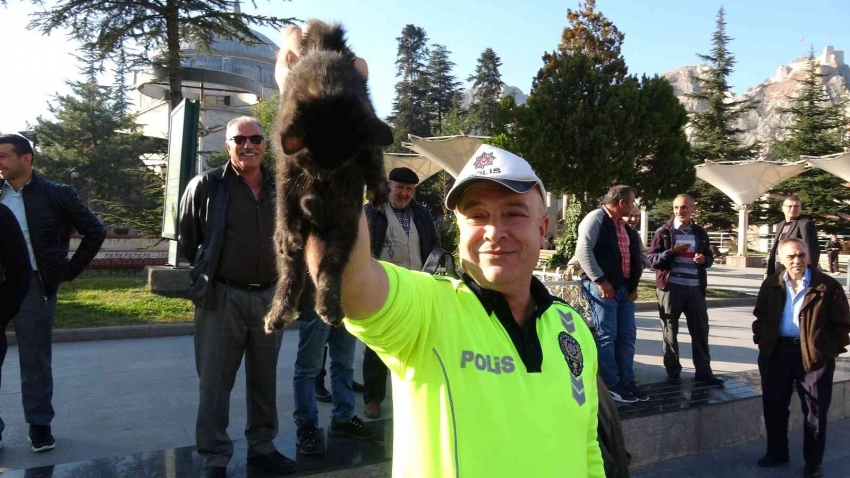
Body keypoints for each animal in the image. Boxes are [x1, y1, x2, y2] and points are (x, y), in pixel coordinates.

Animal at [264, 19, 392, 332]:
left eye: (342, 162)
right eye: (309, 160)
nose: (322, 177)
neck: (326, 84)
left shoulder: (367, 118)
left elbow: (374, 156)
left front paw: (379, 187)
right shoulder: (285, 166)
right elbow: (284, 199)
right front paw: (286, 228)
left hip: (345, 225)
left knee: (330, 266)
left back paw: (328, 306)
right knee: (292, 271)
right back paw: (280, 312)